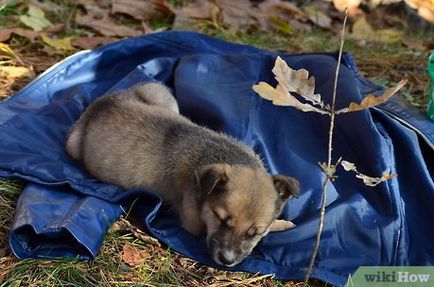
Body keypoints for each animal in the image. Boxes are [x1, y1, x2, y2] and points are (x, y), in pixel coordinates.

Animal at [66, 82, 300, 268]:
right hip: (73, 145)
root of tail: (99, 103)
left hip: (161, 93)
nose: (227, 260)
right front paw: (282, 224)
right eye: (220, 218)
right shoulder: (193, 222)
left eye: (254, 232)